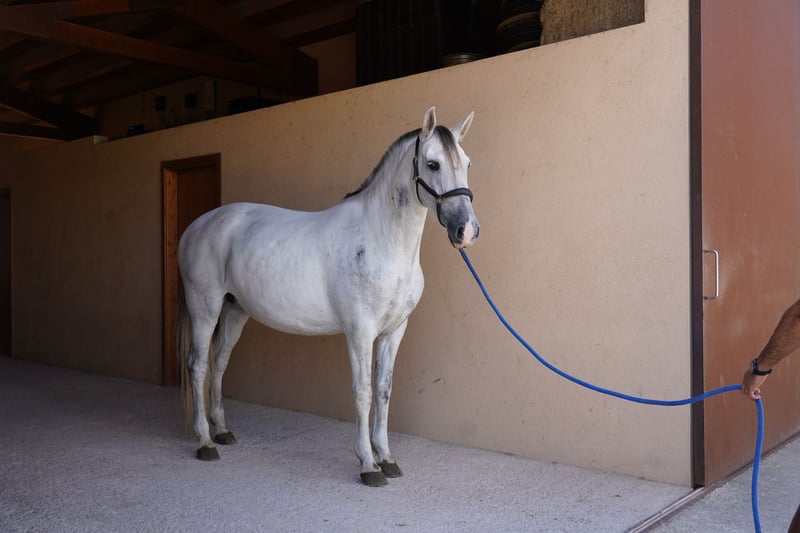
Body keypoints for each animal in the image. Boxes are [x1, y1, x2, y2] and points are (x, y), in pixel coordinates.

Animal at [176, 107, 479, 487]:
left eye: (466, 163)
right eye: (433, 164)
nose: (466, 231)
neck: (382, 240)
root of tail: (194, 228)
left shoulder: (395, 330)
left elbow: (384, 390)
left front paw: (387, 458)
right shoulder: (360, 332)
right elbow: (363, 392)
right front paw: (368, 464)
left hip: (234, 311)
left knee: (219, 363)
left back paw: (222, 432)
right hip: (205, 309)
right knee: (198, 365)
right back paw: (204, 442)